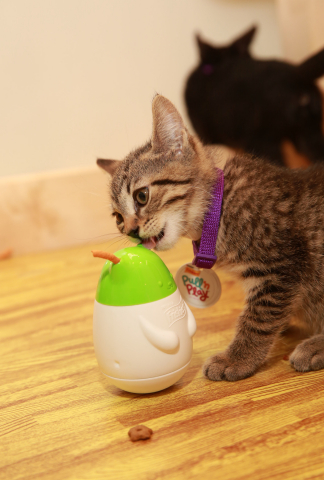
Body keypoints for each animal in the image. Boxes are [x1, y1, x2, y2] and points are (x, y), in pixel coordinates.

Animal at [97, 94, 324, 380]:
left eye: (141, 196)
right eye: (117, 217)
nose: (130, 231)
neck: (217, 212)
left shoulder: (282, 266)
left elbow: (258, 318)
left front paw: (237, 358)